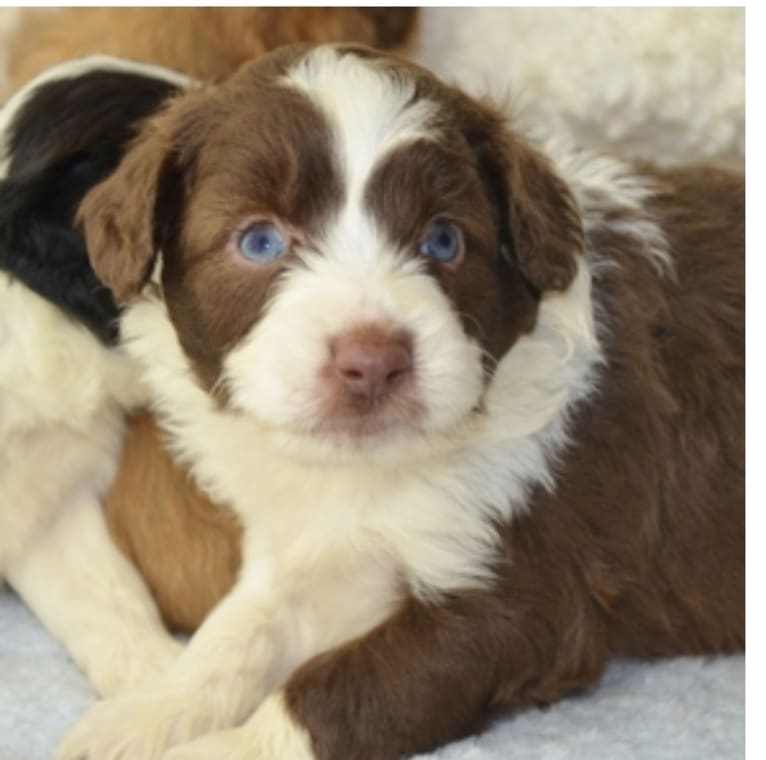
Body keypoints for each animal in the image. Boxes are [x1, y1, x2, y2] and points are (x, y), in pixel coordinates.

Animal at [58, 44, 744, 760]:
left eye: (442, 241)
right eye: (259, 241)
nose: (372, 363)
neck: (368, 468)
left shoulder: (525, 598)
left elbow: (335, 694)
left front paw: (222, 747)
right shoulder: (303, 546)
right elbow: (238, 631)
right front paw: (146, 713)